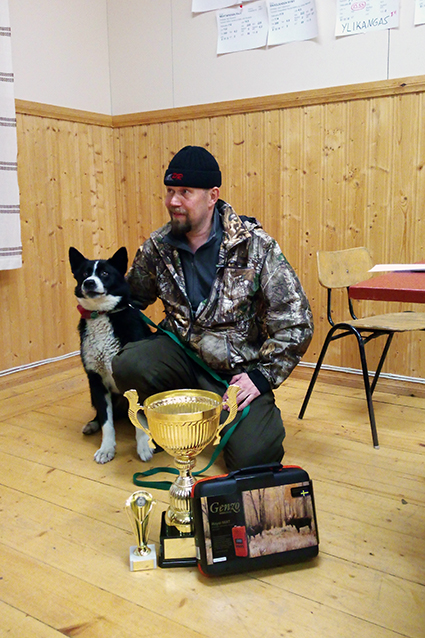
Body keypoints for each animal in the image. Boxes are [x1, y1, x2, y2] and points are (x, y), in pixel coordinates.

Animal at [69, 246, 153, 464]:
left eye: (105, 273)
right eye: (84, 273)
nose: (89, 283)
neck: (101, 314)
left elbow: (139, 419)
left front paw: (143, 446)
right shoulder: (96, 380)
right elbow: (107, 422)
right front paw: (106, 448)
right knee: (106, 415)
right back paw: (92, 424)